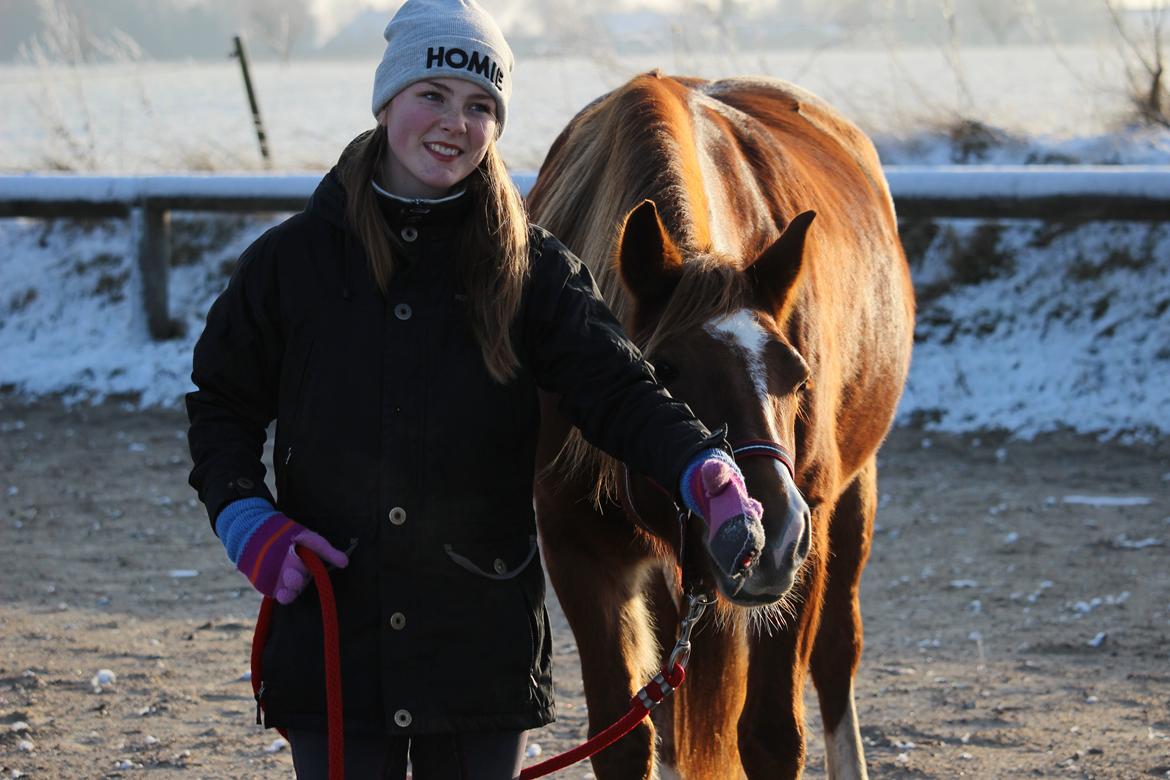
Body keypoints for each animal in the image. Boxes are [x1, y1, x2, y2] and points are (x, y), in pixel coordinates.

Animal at [528, 74, 912, 780]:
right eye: (663, 372)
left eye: (796, 375)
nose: (769, 531)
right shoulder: (578, 548)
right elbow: (625, 739)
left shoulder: (807, 540)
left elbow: (772, 736)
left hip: (851, 497)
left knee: (836, 658)